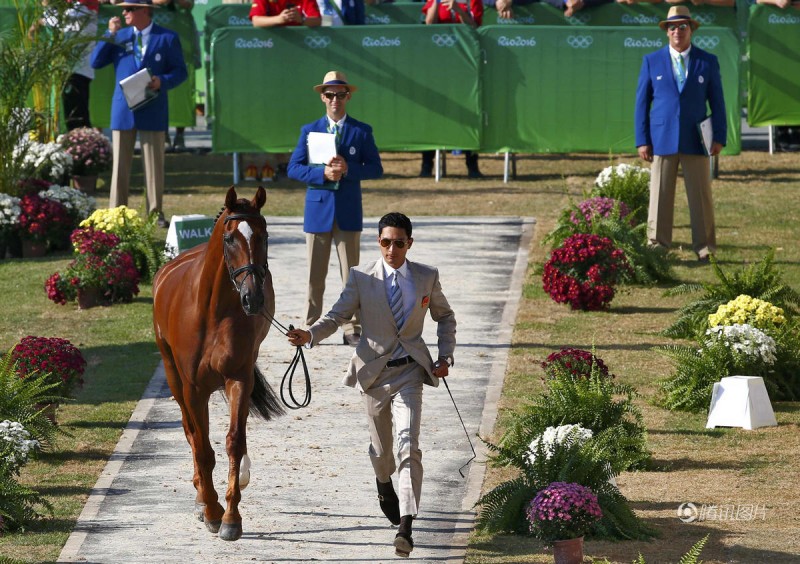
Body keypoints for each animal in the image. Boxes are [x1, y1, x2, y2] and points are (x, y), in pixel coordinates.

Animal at [152, 187, 284, 540]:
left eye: (265, 235)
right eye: (229, 238)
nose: (254, 298)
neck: (213, 313)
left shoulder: (238, 378)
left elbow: (234, 443)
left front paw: (231, 519)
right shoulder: (193, 388)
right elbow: (201, 447)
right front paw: (212, 511)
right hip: (174, 378)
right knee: (191, 431)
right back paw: (201, 499)